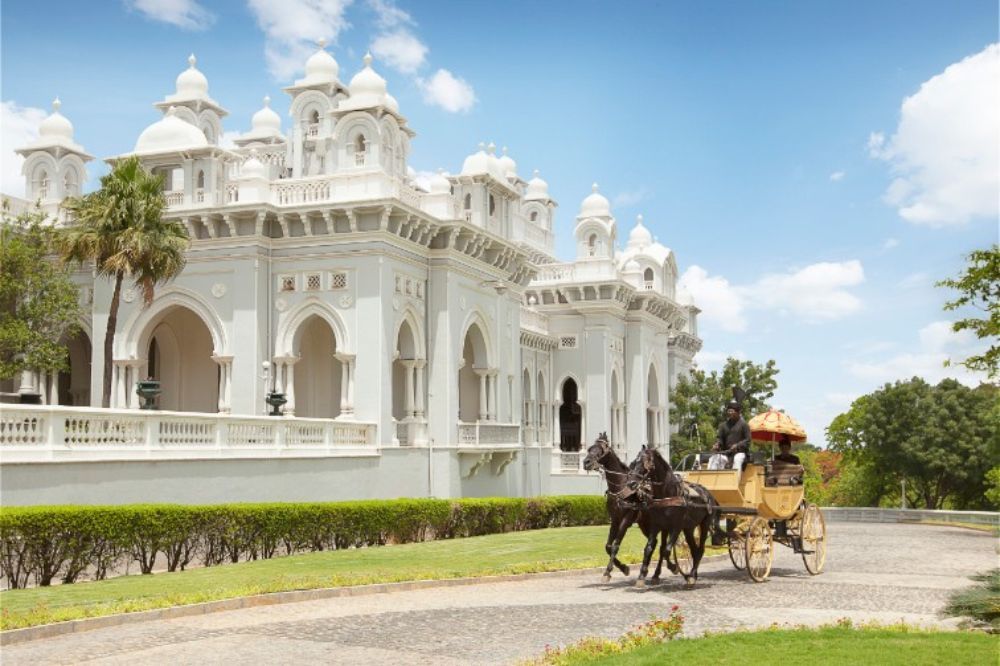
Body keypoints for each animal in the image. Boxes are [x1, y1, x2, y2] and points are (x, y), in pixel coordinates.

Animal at [584, 430, 668, 580]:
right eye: (589, 449)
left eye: (601, 449)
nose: (586, 462)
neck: (621, 486)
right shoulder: (615, 520)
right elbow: (608, 546)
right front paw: (623, 568)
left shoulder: (626, 520)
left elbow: (615, 545)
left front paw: (608, 571)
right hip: (645, 524)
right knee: (654, 543)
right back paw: (646, 570)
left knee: (663, 545)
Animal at [624, 444, 720, 584]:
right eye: (634, 463)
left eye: (646, 462)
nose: (631, 483)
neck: (667, 495)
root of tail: (708, 494)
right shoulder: (657, 526)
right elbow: (649, 549)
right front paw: (642, 575)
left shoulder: (676, 527)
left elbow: (666, 550)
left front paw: (673, 567)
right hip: (688, 528)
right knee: (694, 550)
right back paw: (692, 575)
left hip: (704, 524)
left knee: (700, 549)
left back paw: (692, 575)